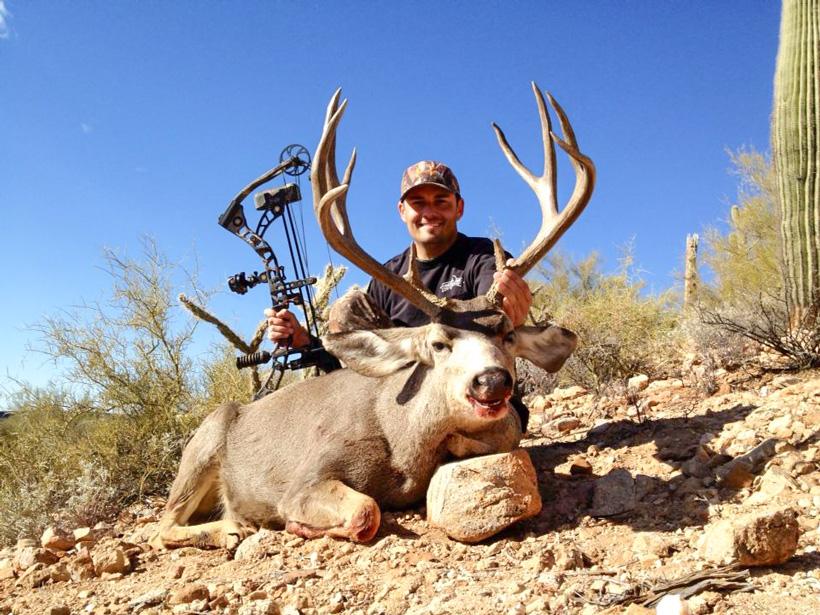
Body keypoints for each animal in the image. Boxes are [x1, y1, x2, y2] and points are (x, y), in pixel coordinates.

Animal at [151, 83, 595, 549]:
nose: (492, 381)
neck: (402, 441)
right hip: (201, 448)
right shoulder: (306, 476)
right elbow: (366, 510)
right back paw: (233, 527)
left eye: (508, 335)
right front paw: (294, 524)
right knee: (161, 526)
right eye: (438, 343)